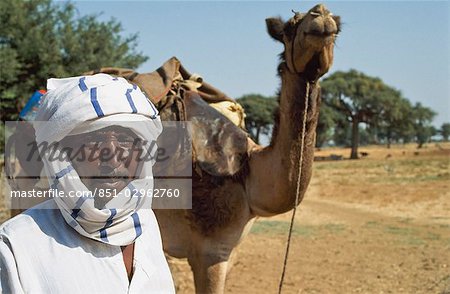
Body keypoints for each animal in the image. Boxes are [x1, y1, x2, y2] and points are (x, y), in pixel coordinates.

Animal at [155, 3, 342, 292]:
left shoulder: (230, 252)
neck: (247, 175)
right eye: (289, 28)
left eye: (338, 26)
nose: (320, 13)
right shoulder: (209, 250)